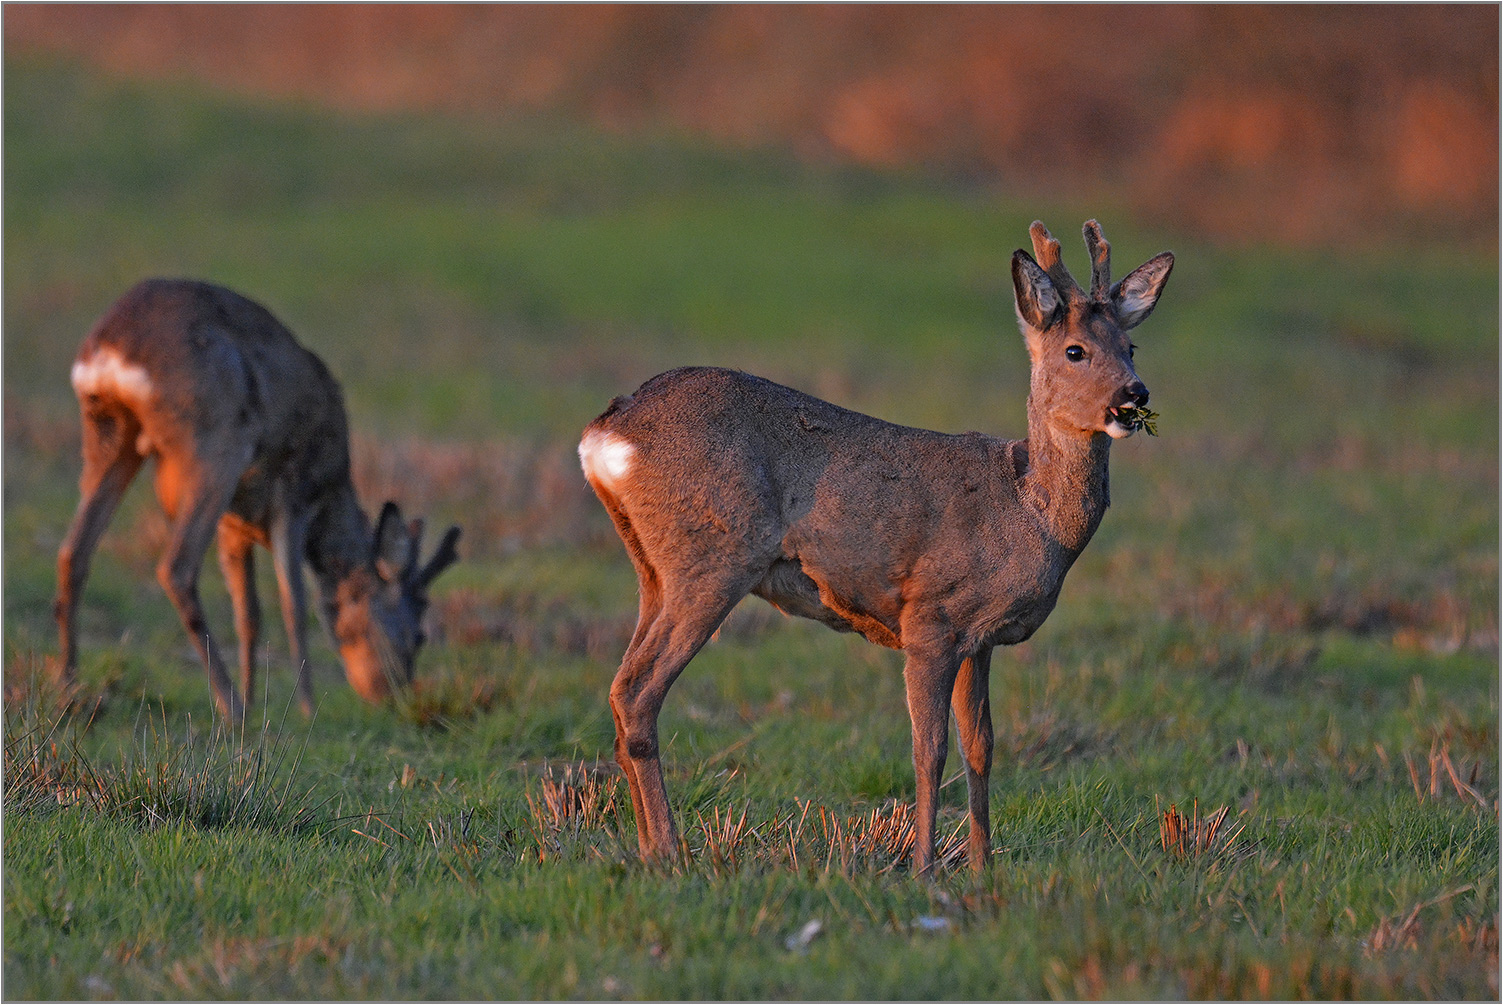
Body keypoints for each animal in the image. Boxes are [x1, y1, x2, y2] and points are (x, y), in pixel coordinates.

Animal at [54, 276, 456, 721]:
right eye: (419, 635)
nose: (394, 697)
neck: (332, 494)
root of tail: (112, 347)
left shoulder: (236, 524)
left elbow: (249, 613)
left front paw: (255, 695)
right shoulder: (293, 495)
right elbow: (294, 605)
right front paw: (305, 708)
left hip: (110, 432)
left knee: (73, 552)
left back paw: (69, 687)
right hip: (215, 442)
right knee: (175, 567)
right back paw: (230, 707)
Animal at [580, 219, 1178, 871]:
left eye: (1131, 347)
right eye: (1075, 350)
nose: (1135, 395)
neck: (1028, 514)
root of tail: (606, 431)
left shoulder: (979, 639)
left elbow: (981, 746)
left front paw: (982, 866)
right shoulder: (931, 617)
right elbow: (929, 748)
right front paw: (923, 866)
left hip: (654, 569)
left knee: (622, 690)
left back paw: (649, 849)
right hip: (711, 559)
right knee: (638, 692)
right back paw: (669, 852)